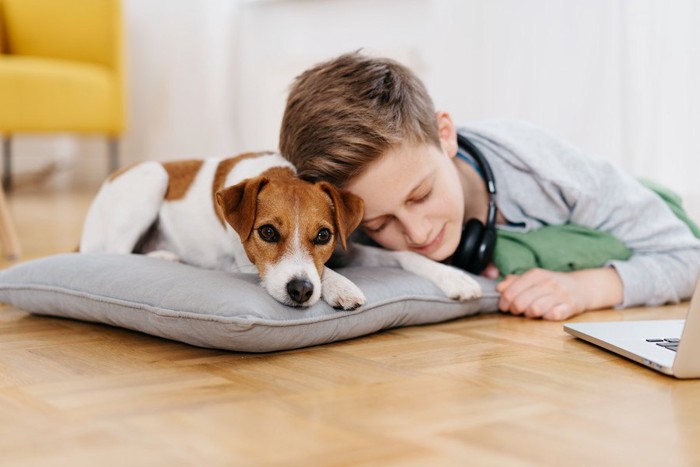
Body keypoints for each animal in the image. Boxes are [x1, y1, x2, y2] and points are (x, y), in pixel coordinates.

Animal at [79, 153, 478, 310]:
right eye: (268, 233)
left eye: (323, 236)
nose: (301, 291)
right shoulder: (243, 262)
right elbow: (326, 274)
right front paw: (341, 286)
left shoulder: (348, 248)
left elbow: (401, 254)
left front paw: (454, 276)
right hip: (153, 178)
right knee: (109, 252)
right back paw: (165, 255)